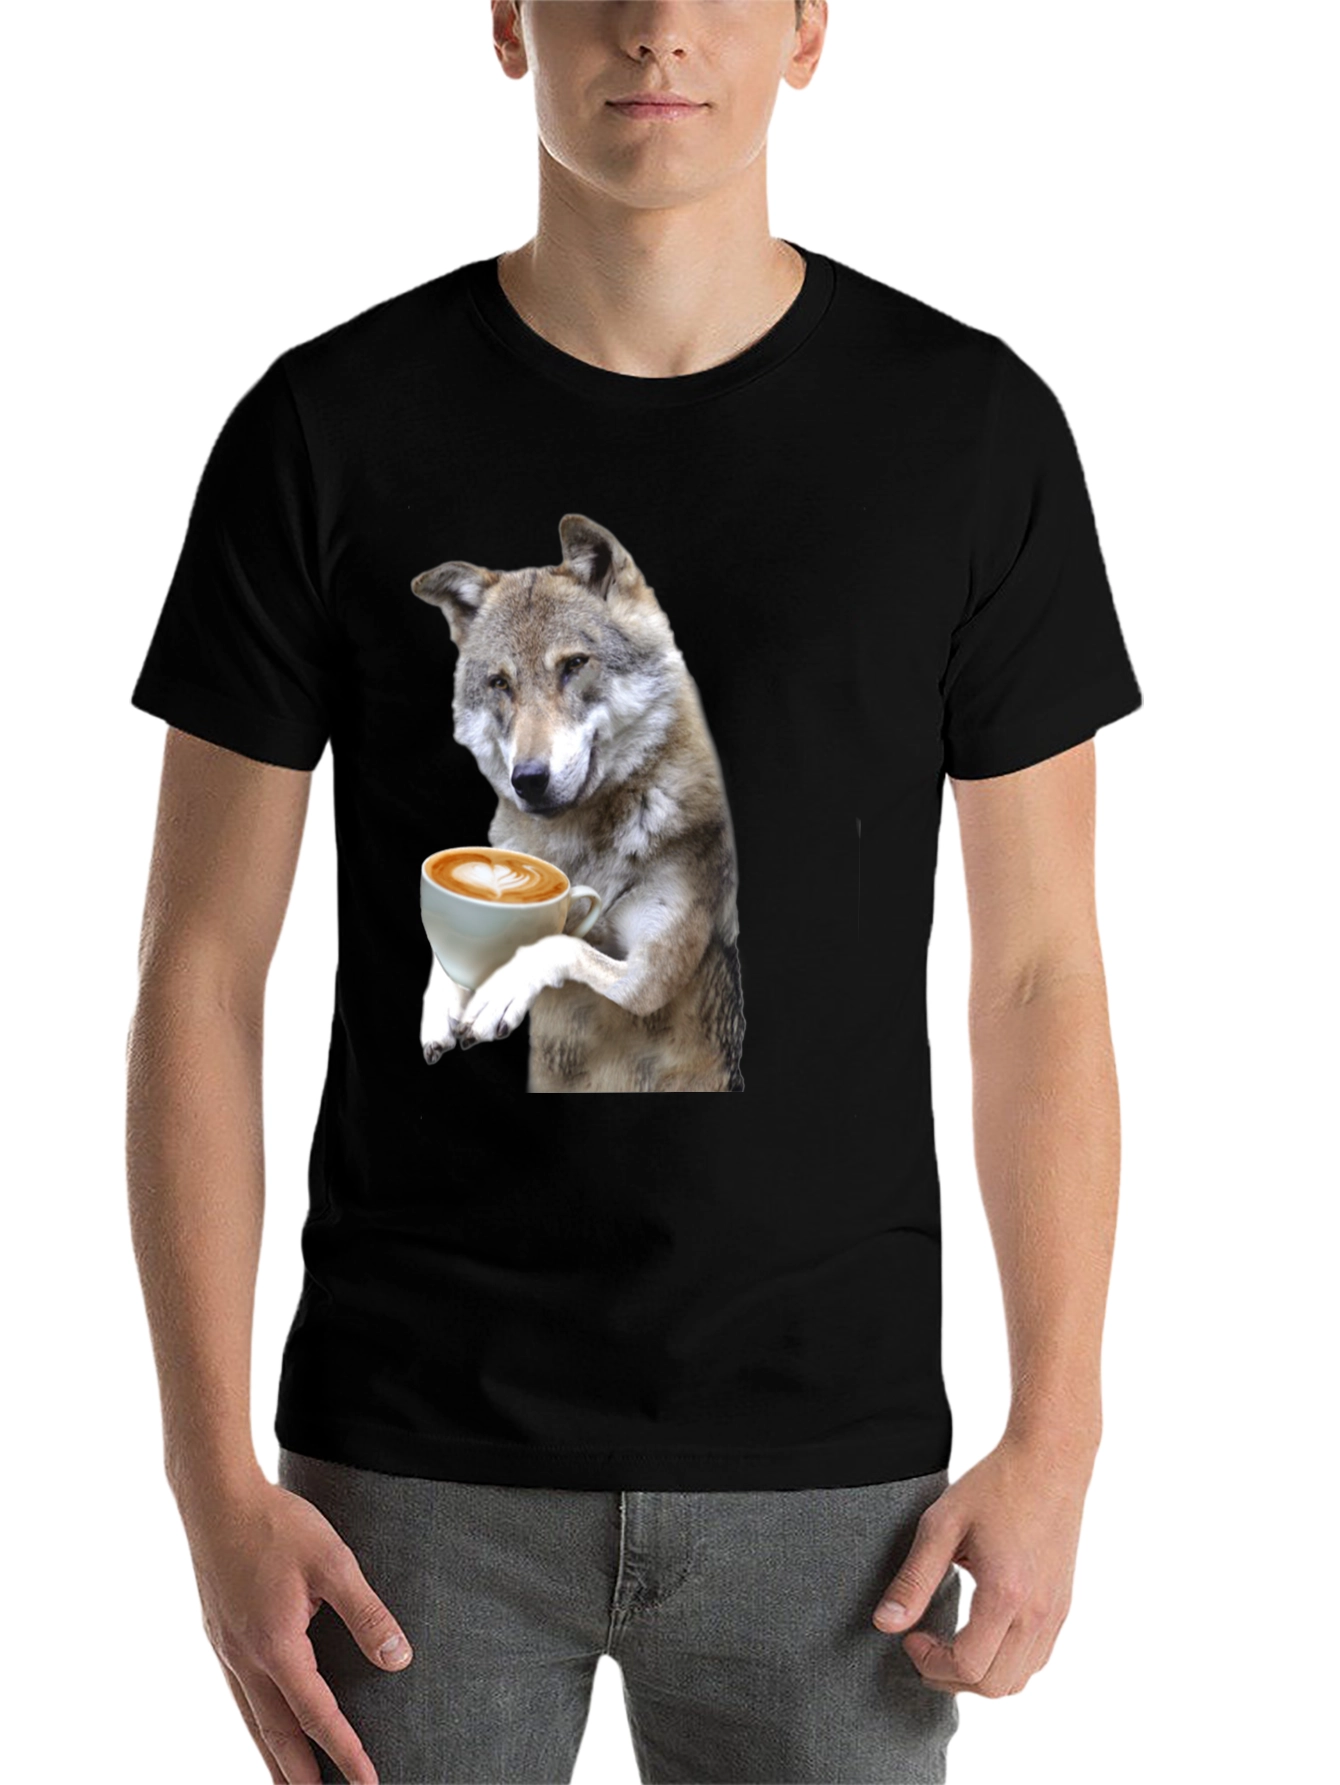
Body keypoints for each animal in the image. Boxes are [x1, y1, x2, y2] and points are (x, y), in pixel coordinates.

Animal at [411, 514, 744, 1093]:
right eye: (500, 683)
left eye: (573, 665)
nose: (528, 779)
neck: (583, 846)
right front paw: (440, 1005)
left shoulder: (651, 974)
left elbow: (558, 945)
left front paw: (498, 991)